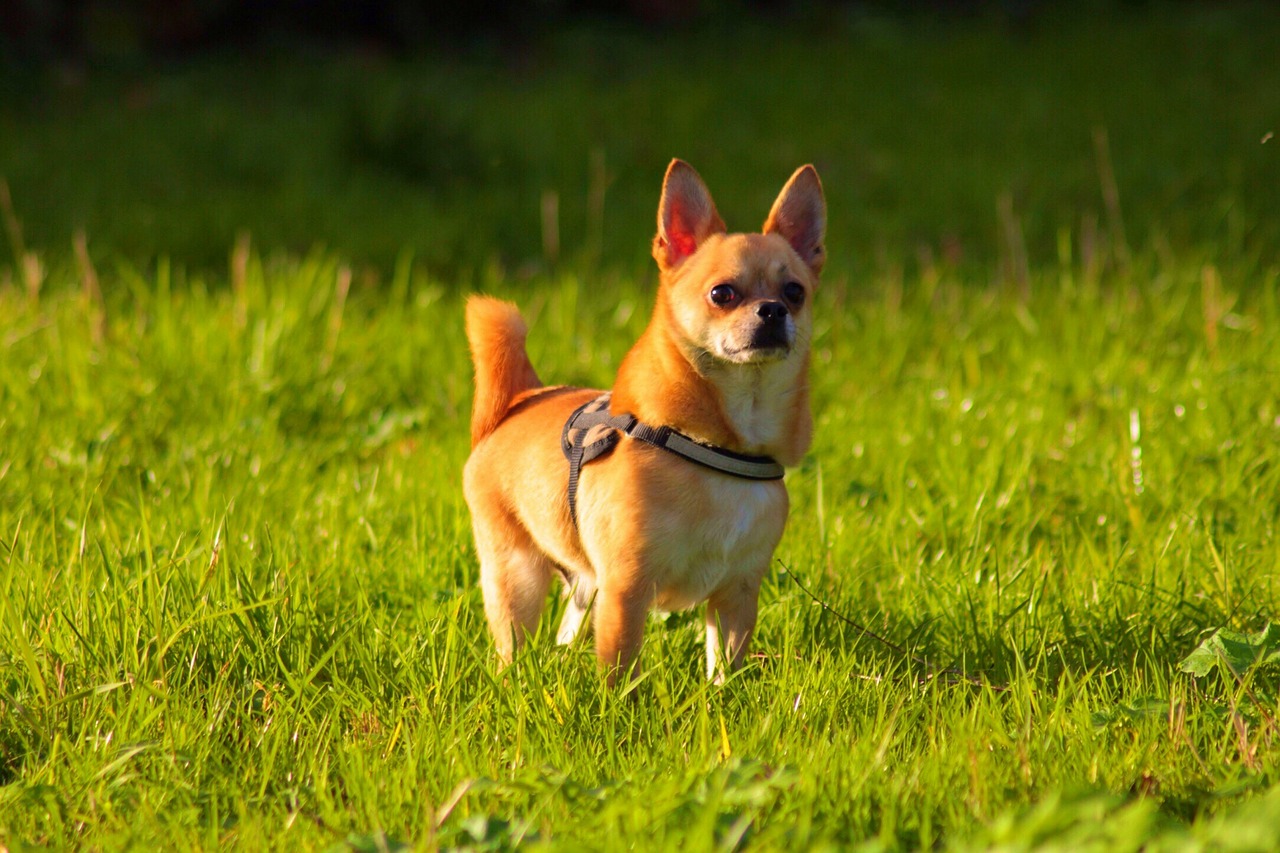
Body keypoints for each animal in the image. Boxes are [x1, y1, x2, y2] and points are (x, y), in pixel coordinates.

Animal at [465, 157, 824, 676]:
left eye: (796, 292)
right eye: (722, 293)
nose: (774, 309)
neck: (719, 445)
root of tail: (522, 396)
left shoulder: (736, 596)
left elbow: (725, 666)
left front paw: (722, 694)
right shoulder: (626, 592)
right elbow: (620, 669)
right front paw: (618, 700)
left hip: (584, 584)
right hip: (518, 573)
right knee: (513, 641)